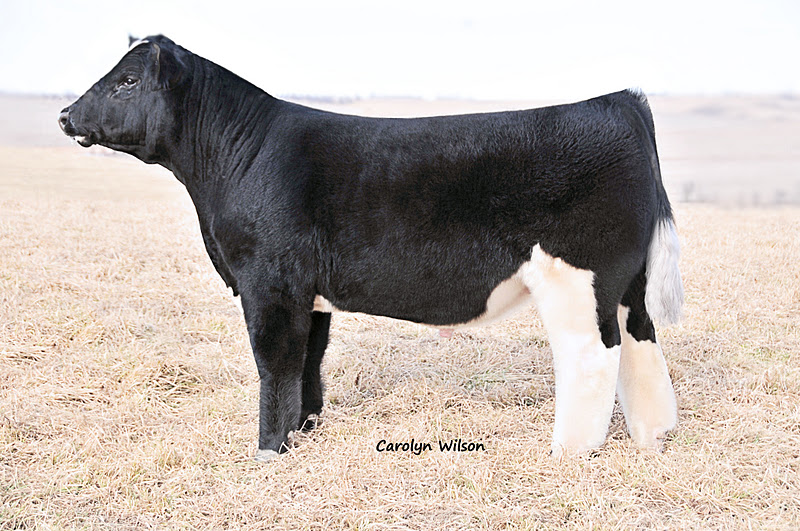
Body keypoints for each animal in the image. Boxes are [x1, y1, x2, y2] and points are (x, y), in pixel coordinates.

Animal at [58, 35, 683, 461]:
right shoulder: (306, 290)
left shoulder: (269, 281)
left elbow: (274, 362)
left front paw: (266, 451)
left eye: (128, 81)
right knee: (640, 341)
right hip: (624, 283)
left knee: (592, 354)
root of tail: (620, 101)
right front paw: (303, 431)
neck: (236, 159)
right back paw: (655, 436)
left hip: (576, 276)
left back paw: (569, 451)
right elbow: (307, 361)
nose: (65, 115)